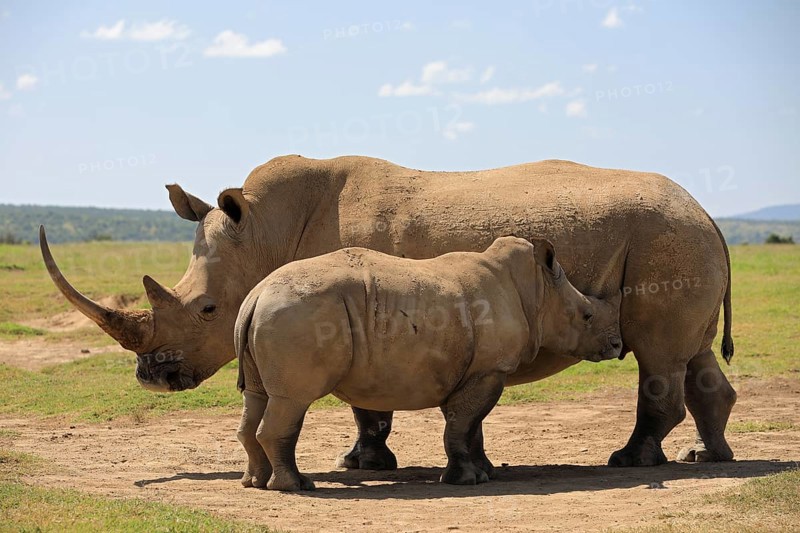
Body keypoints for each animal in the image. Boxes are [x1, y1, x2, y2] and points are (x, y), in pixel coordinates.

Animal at [235, 236, 623, 490]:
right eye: (586, 315)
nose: (617, 345)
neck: (537, 291)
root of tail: (257, 294)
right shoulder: (489, 369)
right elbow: (461, 425)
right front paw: (466, 480)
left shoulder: (473, 370)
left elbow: (470, 425)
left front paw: (484, 473)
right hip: (297, 313)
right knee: (293, 399)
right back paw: (296, 486)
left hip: (272, 313)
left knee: (257, 397)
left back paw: (255, 482)